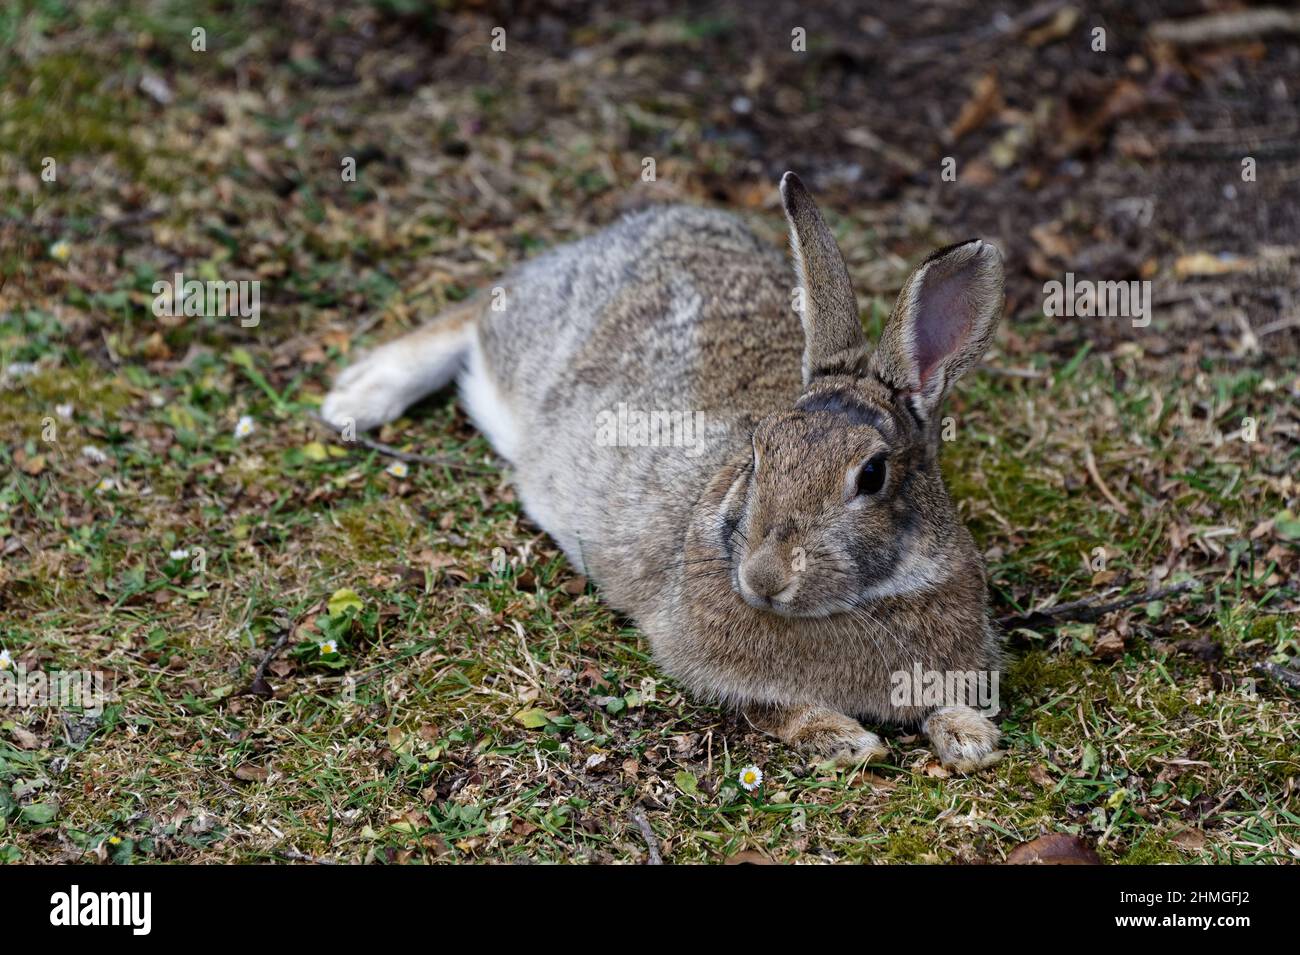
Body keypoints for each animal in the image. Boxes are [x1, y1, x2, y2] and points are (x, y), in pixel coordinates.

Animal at [322, 172, 1006, 772]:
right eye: (759, 451)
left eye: (871, 476)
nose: (763, 579)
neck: (860, 602)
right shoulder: (703, 662)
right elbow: (775, 710)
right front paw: (846, 740)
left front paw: (969, 740)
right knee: (475, 314)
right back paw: (357, 397)